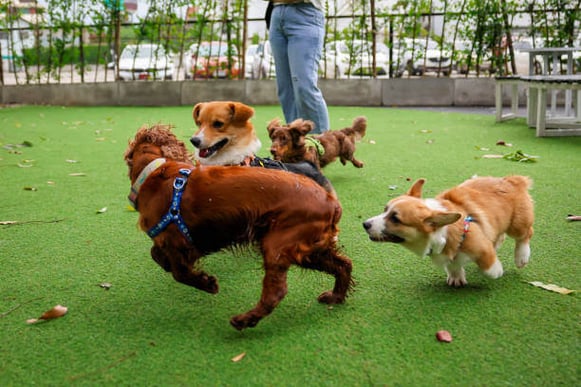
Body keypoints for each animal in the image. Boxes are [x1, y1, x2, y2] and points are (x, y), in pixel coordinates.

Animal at [125, 123, 354, 330]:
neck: (154, 172)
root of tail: (331, 203)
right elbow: (157, 255)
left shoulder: (177, 240)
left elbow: (178, 271)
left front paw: (207, 283)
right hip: (308, 249)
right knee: (344, 265)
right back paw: (336, 296)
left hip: (277, 245)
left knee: (276, 292)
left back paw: (244, 320)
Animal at [362, 177, 536, 286]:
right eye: (385, 209)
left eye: (395, 219)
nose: (365, 224)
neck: (443, 231)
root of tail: (513, 180)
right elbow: (453, 263)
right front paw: (456, 277)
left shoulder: (481, 247)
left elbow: (488, 266)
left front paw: (497, 271)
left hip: (517, 225)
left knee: (526, 234)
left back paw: (521, 257)